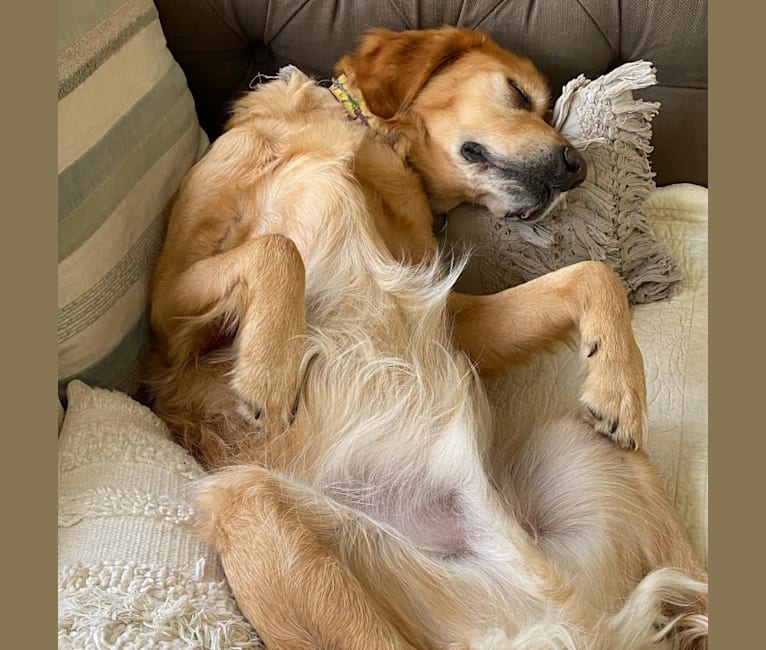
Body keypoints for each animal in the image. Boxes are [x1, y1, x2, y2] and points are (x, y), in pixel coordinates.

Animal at [147, 26, 712, 648]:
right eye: (519, 94)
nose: (576, 167)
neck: (368, 146)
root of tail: (553, 621)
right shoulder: (168, 319)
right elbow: (278, 249)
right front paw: (268, 374)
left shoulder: (451, 316)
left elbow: (593, 273)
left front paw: (620, 387)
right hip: (248, 502)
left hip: (592, 452)